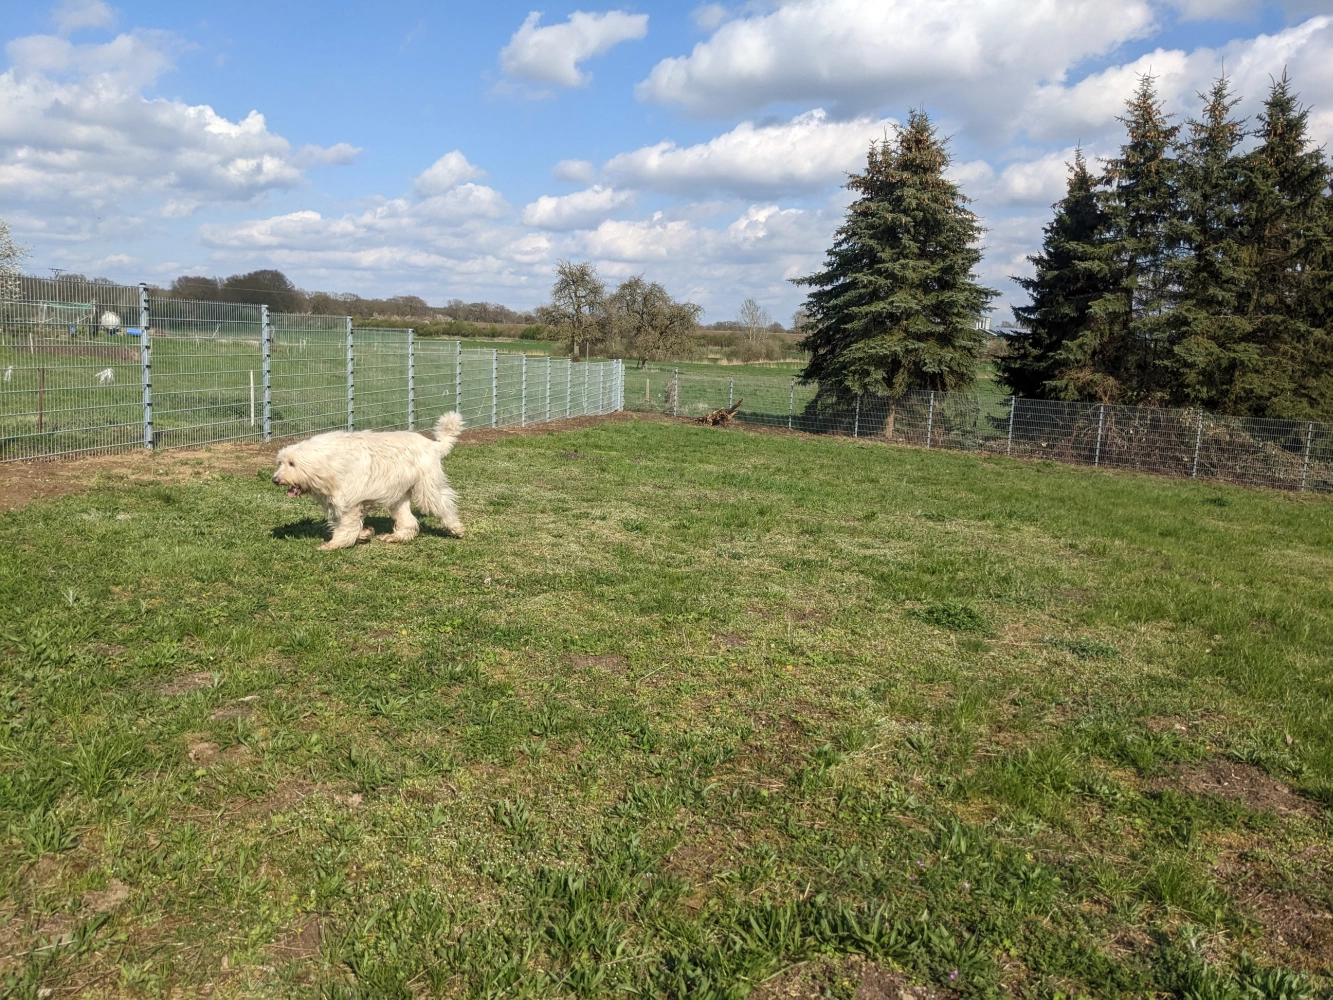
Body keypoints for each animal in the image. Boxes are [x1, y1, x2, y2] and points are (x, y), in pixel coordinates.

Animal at [273, 416, 466, 557]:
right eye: (281, 462)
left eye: (292, 463)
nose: (275, 480)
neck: (327, 461)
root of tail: (433, 445)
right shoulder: (338, 503)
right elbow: (345, 524)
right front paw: (365, 533)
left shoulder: (349, 502)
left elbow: (346, 526)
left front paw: (335, 544)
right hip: (398, 497)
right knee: (409, 522)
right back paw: (396, 537)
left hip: (427, 490)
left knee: (444, 505)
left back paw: (456, 529)